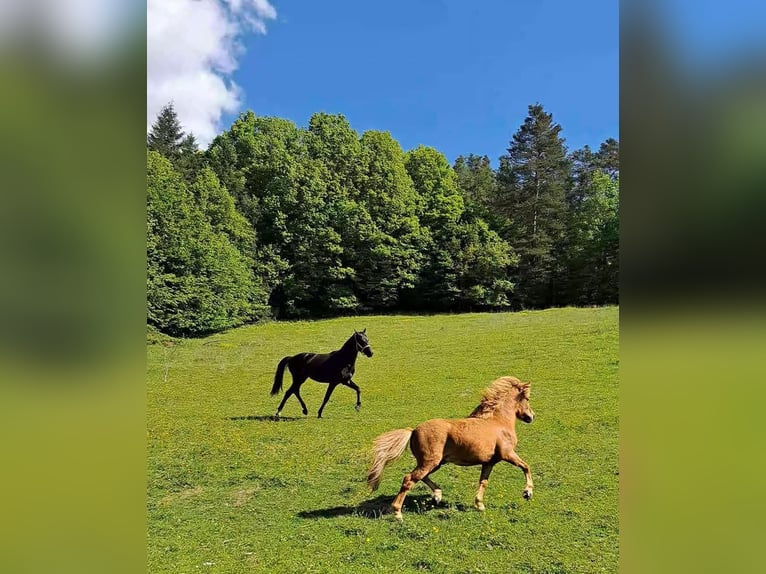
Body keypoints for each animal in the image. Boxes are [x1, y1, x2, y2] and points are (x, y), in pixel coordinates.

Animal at [366, 376, 535, 520]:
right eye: (527, 398)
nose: (532, 416)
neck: (499, 422)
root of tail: (413, 431)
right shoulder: (508, 454)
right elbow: (526, 466)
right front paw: (527, 492)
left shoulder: (489, 462)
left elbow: (483, 482)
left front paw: (479, 505)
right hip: (430, 462)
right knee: (409, 479)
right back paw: (397, 513)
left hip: (436, 463)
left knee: (421, 477)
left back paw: (437, 495)